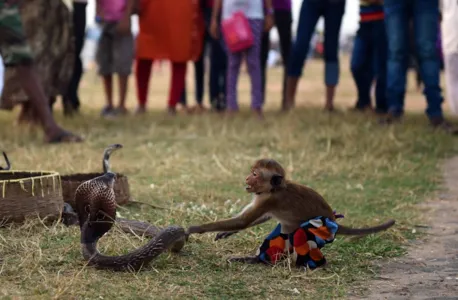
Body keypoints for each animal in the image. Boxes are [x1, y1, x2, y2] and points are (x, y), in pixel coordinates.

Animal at [188, 159, 396, 268]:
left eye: (255, 174)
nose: (247, 178)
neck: (274, 189)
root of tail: (333, 219)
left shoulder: (270, 199)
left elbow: (243, 221)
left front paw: (196, 228)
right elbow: (258, 218)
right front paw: (225, 232)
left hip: (321, 229)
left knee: (295, 234)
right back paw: (257, 258)